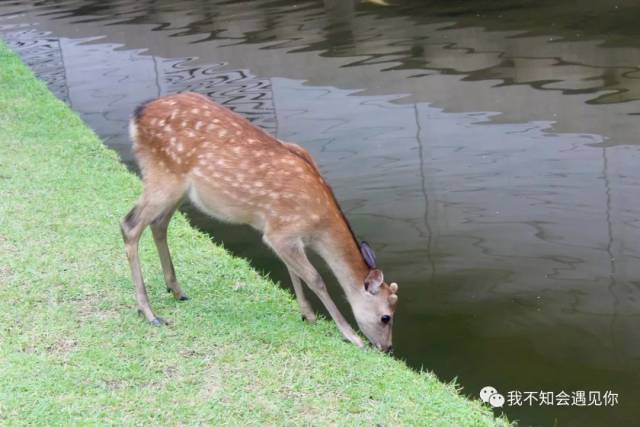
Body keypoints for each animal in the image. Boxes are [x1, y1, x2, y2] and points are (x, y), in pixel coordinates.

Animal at [120, 93, 398, 352]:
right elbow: (315, 278)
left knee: (159, 224)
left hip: (177, 187)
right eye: (386, 317)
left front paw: (307, 315)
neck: (318, 225)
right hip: (163, 176)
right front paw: (351, 336)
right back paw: (149, 313)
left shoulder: (284, 235)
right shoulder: (281, 230)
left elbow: (293, 271)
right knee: (130, 225)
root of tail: (136, 116)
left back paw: (176, 290)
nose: (387, 347)